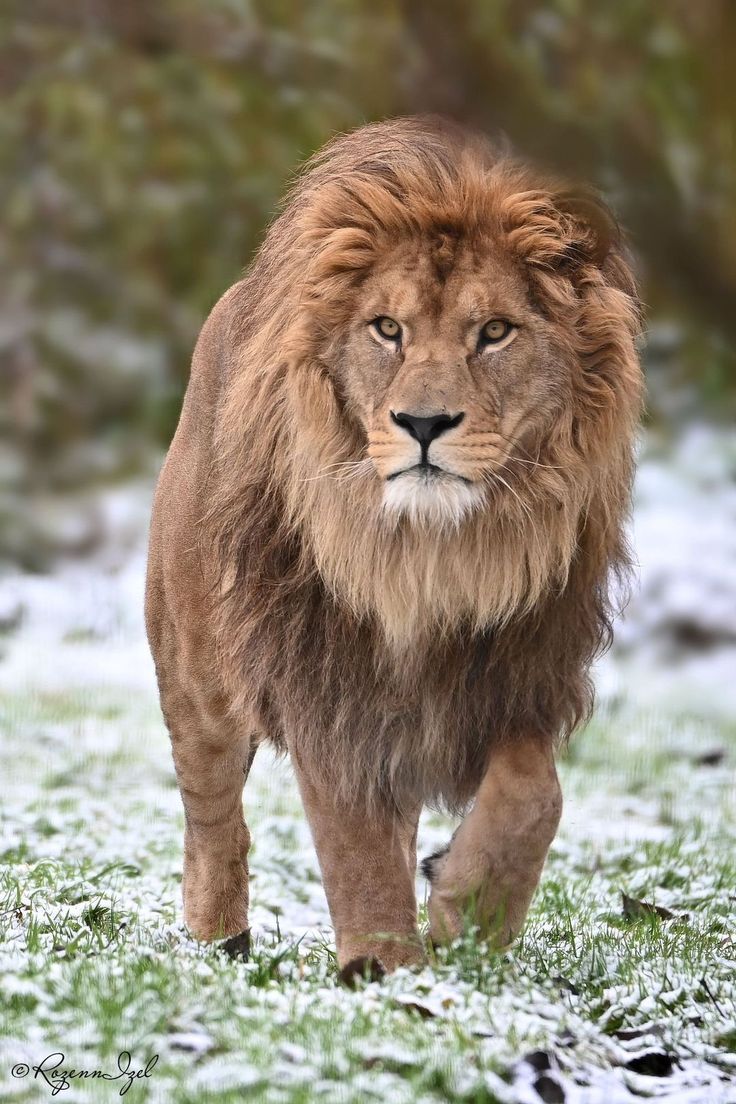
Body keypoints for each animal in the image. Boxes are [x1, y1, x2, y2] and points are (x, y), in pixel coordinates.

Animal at [145, 115, 642, 982]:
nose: (423, 423)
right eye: (388, 329)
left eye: (495, 332)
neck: (431, 556)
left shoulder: (519, 670)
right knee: (211, 814)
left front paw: (466, 915)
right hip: (196, 669)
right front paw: (384, 968)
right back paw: (220, 939)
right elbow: (355, 840)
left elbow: (534, 793)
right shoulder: (328, 674)